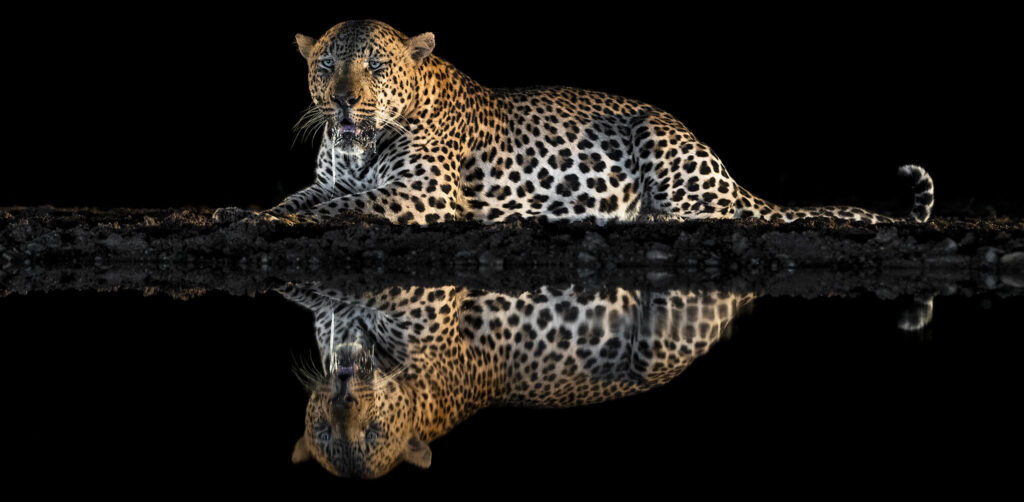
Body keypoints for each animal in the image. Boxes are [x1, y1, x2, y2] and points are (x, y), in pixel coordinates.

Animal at [264, 19, 935, 226]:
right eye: (326, 65)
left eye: (376, 67)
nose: (344, 101)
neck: (358, 149)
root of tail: (730, 175)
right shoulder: (328, 181)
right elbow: (300, 199)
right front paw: (253, 215)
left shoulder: (417, 194)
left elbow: (342, 208)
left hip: (660, 142)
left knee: (705, 216)